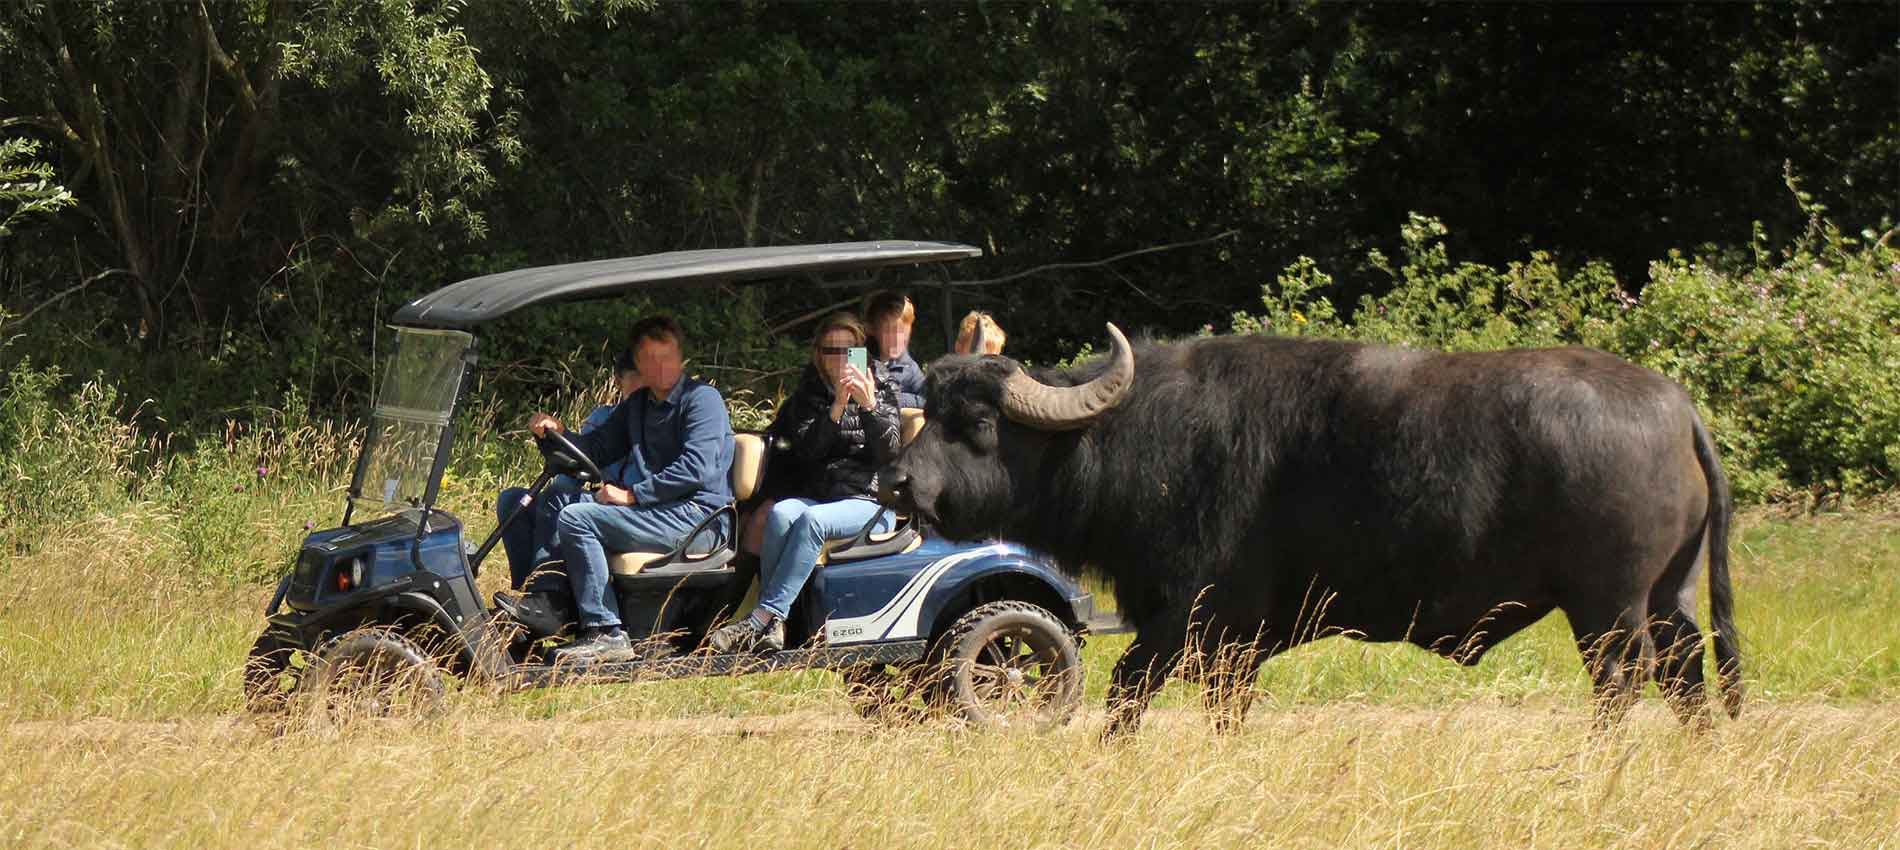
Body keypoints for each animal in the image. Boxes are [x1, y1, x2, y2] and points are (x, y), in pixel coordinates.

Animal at [881, 327, 1740, 737]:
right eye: (932, 407)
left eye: (977, 422)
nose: (897, 483)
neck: (1136, 443)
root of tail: (1676, 406)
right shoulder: (1226, 645)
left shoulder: (1193, 619)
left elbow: (1128, 690)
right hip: (1670, 598)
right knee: (1689, 678)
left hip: (1608, 609)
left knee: (1623, 683)